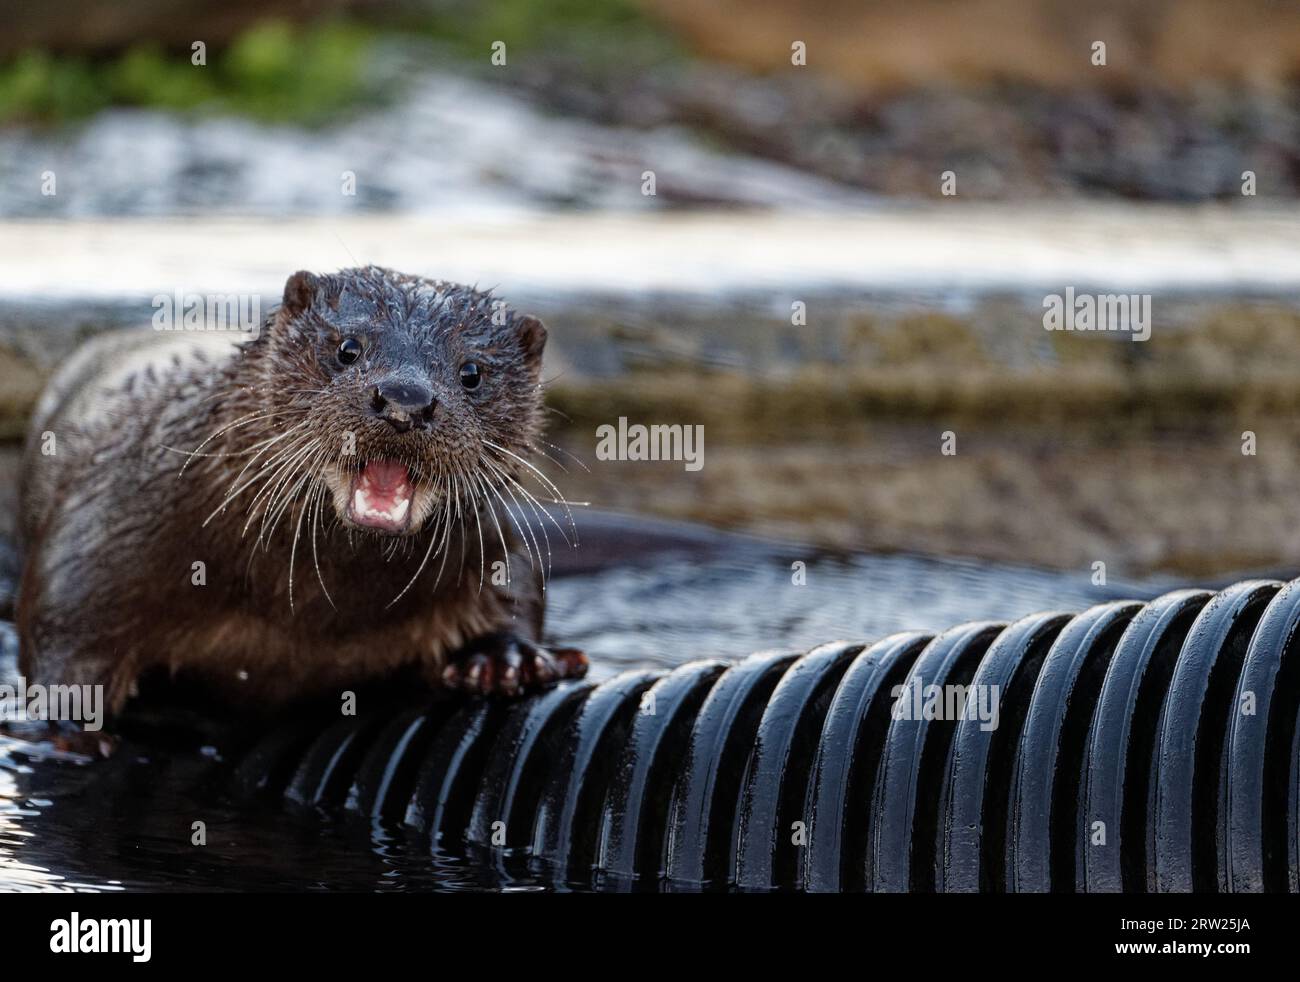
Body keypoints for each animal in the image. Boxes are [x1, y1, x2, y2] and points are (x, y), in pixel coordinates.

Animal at [13, 266, 585, 712]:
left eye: (472, 372)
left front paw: (504, 658)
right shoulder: (112, 519)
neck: (314, 609)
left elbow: (517, 573)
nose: (406, 398)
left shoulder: (484, 533)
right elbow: (63, 618)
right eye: (348, 348)